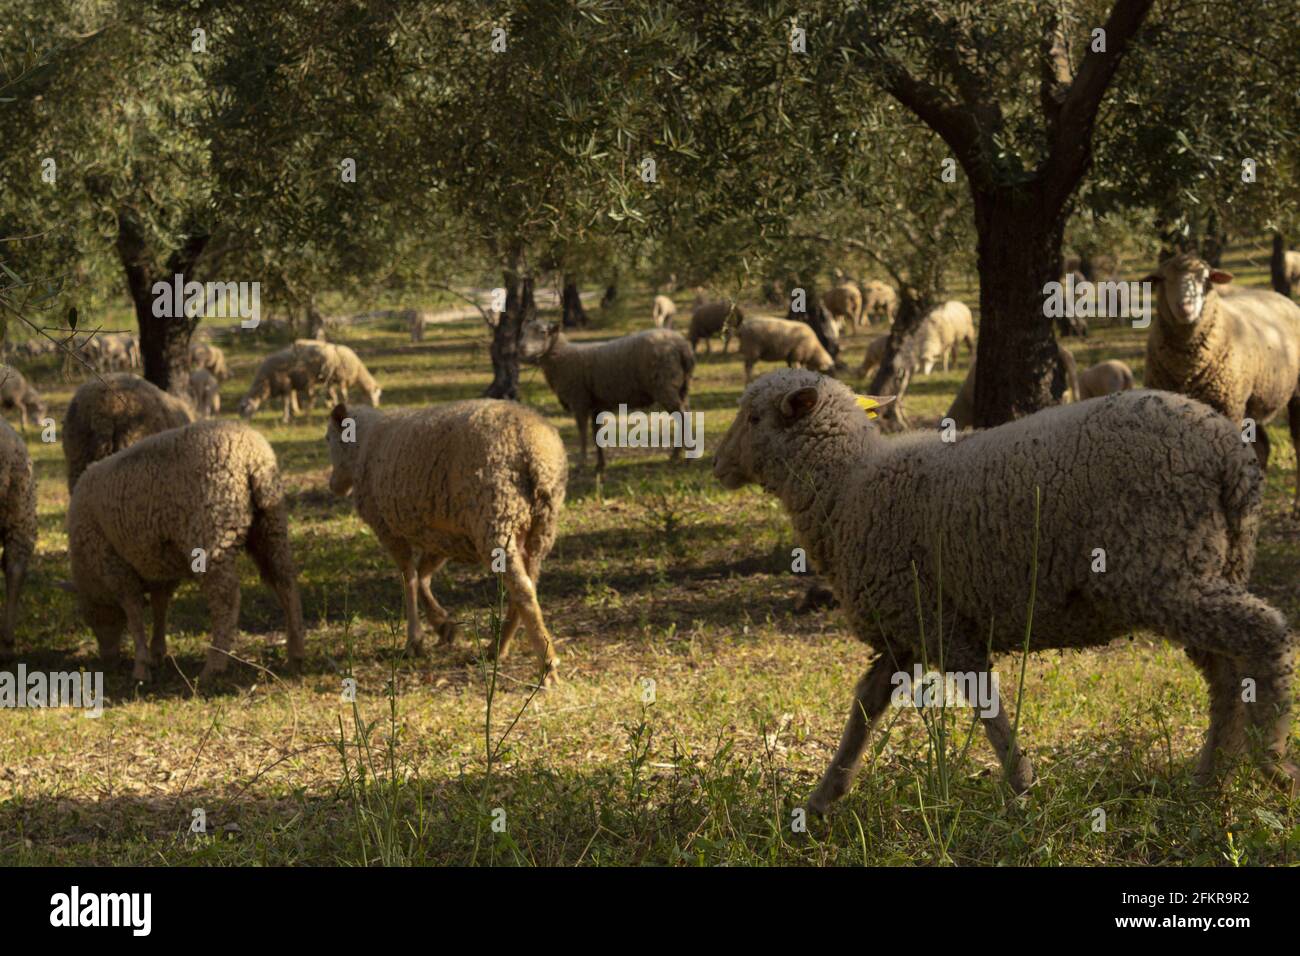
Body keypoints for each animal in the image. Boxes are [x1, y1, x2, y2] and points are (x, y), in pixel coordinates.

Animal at [68, 419, 305, 682]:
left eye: (89, 617)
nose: (107, 661)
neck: (89, 571)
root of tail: (253, 458)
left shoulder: (113, 565)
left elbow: (134, 612)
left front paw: (141, 666)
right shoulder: (158, 566)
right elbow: (160, 606)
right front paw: (157, 653)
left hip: (212, 534)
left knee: (226, 598)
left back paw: (214, 665)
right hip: (271, 526)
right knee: (285, 582)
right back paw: (296, 654)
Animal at [326, 400, 566, 685]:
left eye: (328, 439)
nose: (332, 486)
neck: (363, 445)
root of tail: (534, 450)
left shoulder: (388, 530)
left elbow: (408, 578)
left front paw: (414, 640)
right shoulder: (441, 535)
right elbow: (422, 576)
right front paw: (443, 625)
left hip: (497, 519)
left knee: (523, 590)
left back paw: (546, 664)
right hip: (539, 529)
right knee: (527, 585)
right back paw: (497, 648)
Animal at [518, 321, 694, 474]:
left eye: (542, 332)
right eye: (523, 332)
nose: (522, 348)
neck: (562, 357)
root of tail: (682, 346)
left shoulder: (579, 400)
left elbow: (582, 433)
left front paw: (581, 464)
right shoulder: (596, 405)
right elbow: (596, 435)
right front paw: (600, 465)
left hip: (666, 386)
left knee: (683, 418)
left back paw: (684, 457)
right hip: (681, 388)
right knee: (685, 415)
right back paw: (682, 454)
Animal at [714, 369, 1299, 811]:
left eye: (752, 417)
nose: (716, 464)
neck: (846, 486)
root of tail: (1229, 454)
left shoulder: (944, 624)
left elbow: (984, 702)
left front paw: (1020, 783)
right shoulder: (905, 627)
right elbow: (864, 710)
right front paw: (823, 799)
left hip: (1166, 569)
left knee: (1264, 633)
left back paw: (1272, 763)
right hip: (1206, 565)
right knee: (1226, 676)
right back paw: (1210, 778)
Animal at [1144, 252, 1300, 512]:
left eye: (1205, 278)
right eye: (1163, 278)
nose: (1185, 307)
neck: (1187, 368)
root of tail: (1280, 296)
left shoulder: (1228, 407)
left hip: (1290, 394)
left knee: (1296, 441)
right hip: (1249, 401)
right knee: (1263, 448)